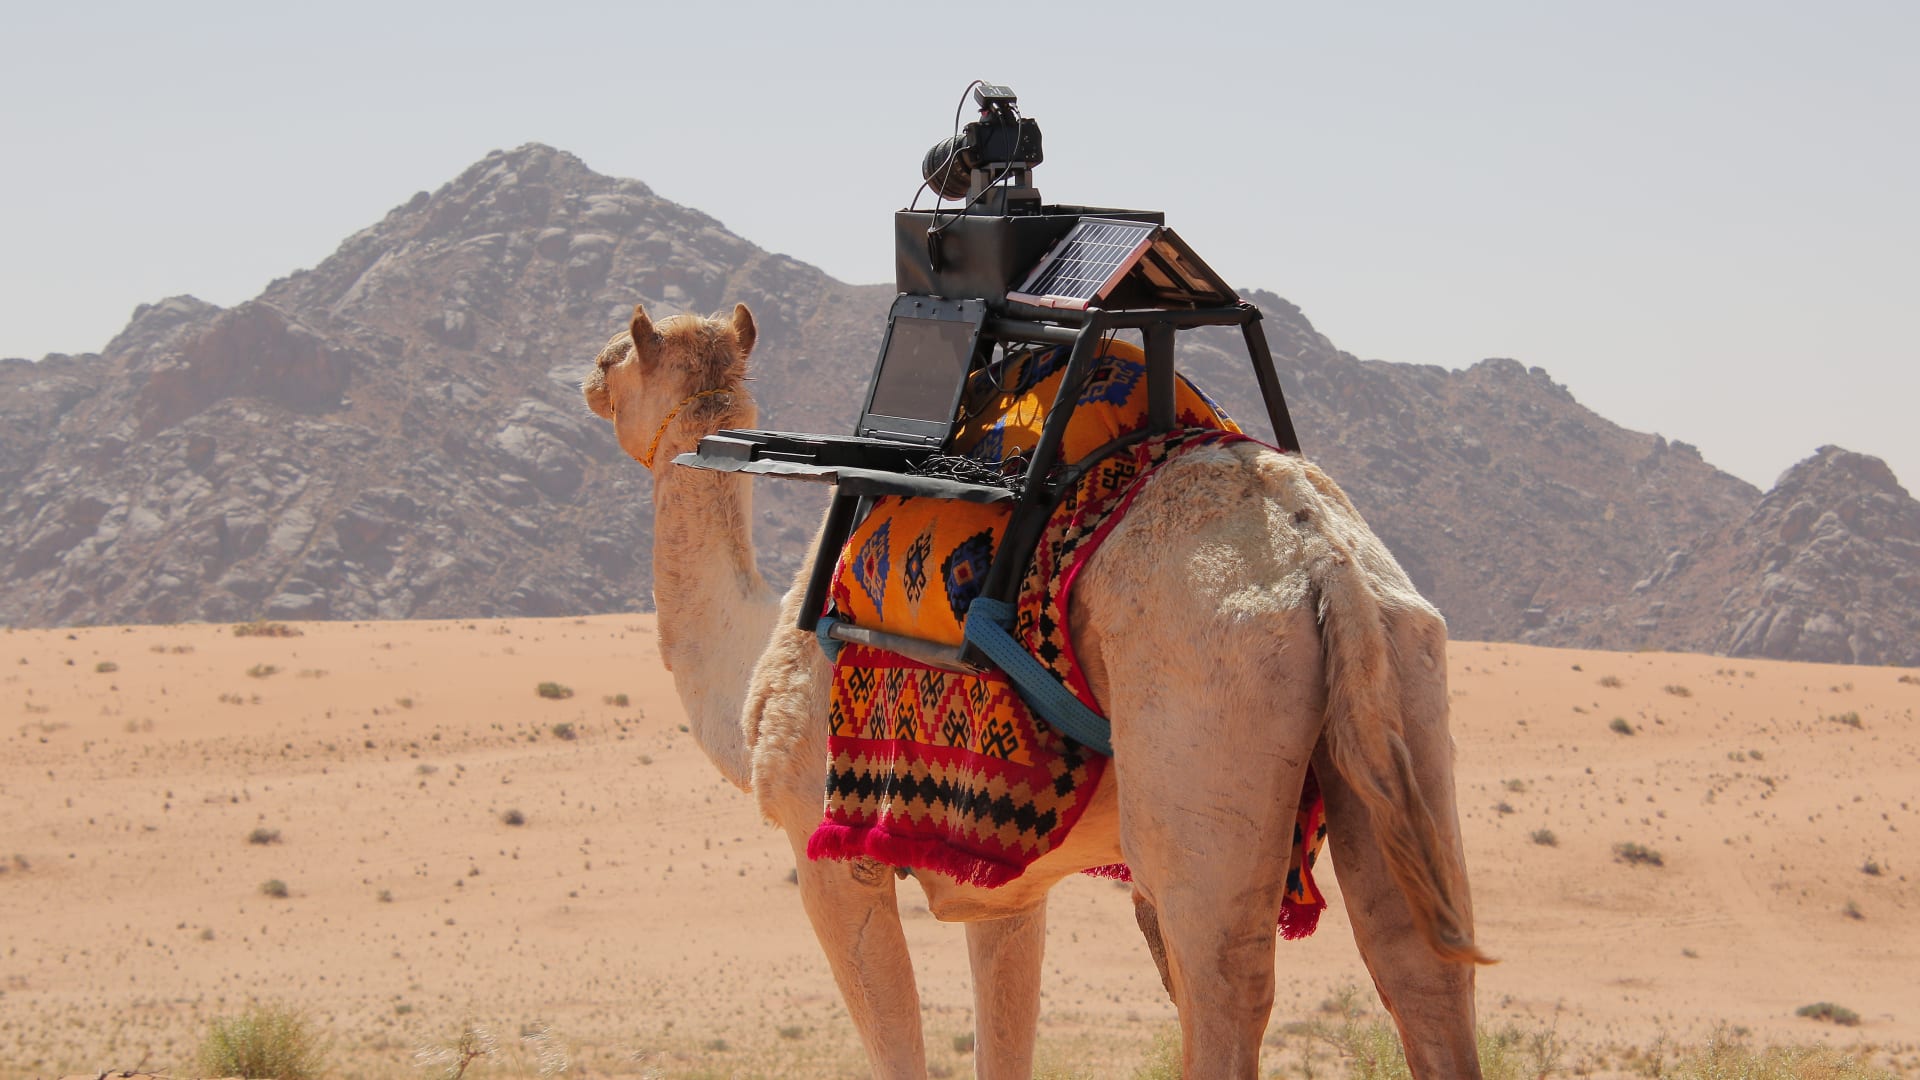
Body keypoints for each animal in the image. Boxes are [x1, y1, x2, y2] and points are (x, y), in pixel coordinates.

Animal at [579, 297, 1482, 1068]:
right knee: (1421, 962)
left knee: (1226, 977)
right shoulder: (1003, 880)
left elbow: (898, 1046)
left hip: (1207, 734)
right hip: (1403, 674)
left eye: (614, 354)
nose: (586, 379)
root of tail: (1326, 563)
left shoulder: (828, 850)